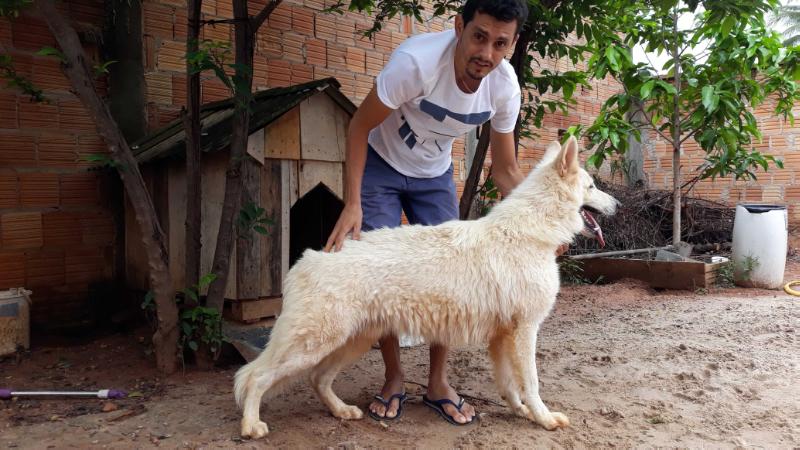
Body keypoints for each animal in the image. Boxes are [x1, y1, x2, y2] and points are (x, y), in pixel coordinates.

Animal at [233, 138, 620, 440]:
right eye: (591, 186)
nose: (618, 205)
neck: (532, 231)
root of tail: (306, 259)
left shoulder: (502, 337)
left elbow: (510, 386)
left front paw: (521, 412)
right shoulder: (525, 331)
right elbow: (533, 384)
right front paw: (544, 419)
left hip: (350, 342)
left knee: (317, 379)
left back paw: (342, 411)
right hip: (314, 344)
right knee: (254, 377)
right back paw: (252, 427)